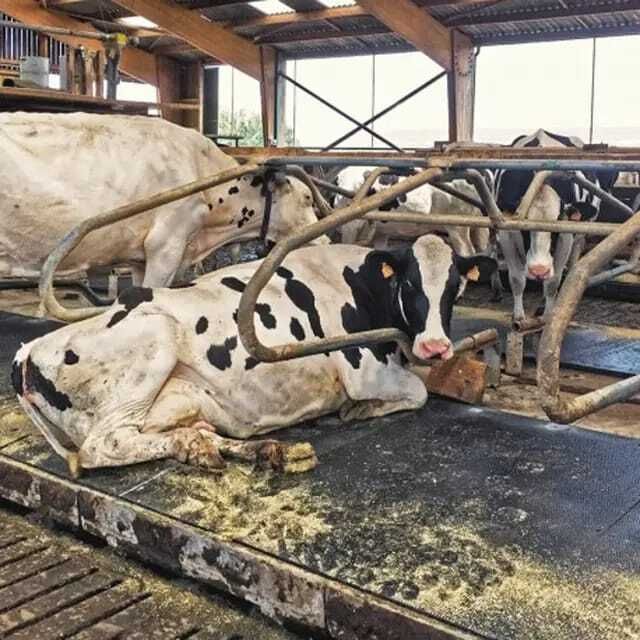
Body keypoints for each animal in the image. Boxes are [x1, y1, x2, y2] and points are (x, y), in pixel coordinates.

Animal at [12, 235, 496, 475]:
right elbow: (417, 392)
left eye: (455, 286)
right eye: (409, 284)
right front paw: (359, 411)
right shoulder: (364, 370)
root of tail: (28, 350)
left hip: (187, 400)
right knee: (103, 445)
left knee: (183, 432)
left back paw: (244, 450)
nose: (435, 346)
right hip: (154, 341)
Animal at [494, 129, 618, 320]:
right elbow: (516, 279)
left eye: (557, 224)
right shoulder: (506, 232)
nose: (539, 271)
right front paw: (518, 316)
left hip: (580, 233)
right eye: (524, 226)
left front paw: (548, 315)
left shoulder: (566, 235)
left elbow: (552, 282)